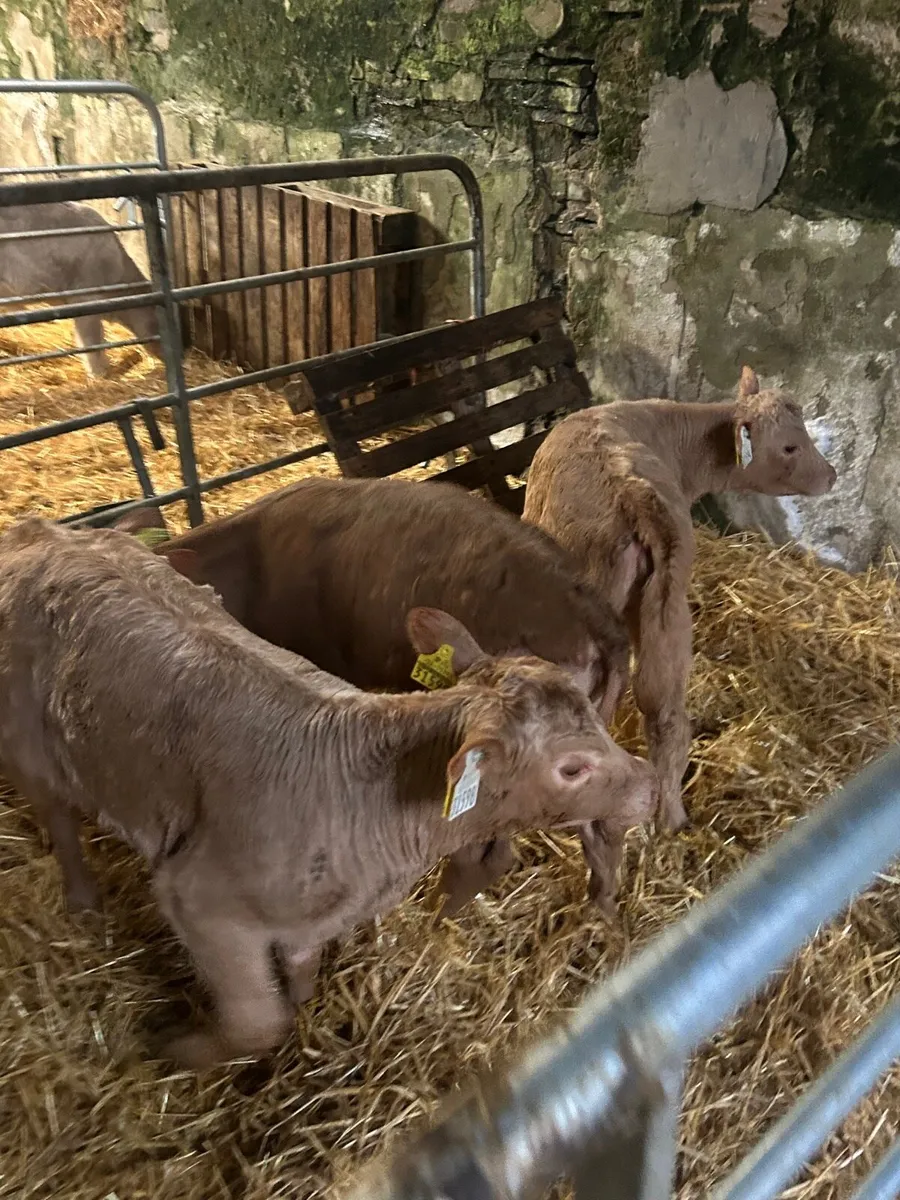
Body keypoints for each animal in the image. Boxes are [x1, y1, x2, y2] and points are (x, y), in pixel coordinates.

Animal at [523, 365, 837, 833]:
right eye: (789, 445)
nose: (832, 475)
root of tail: (632, 487)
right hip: (668, 606)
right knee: (664, 711)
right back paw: (668, 819)